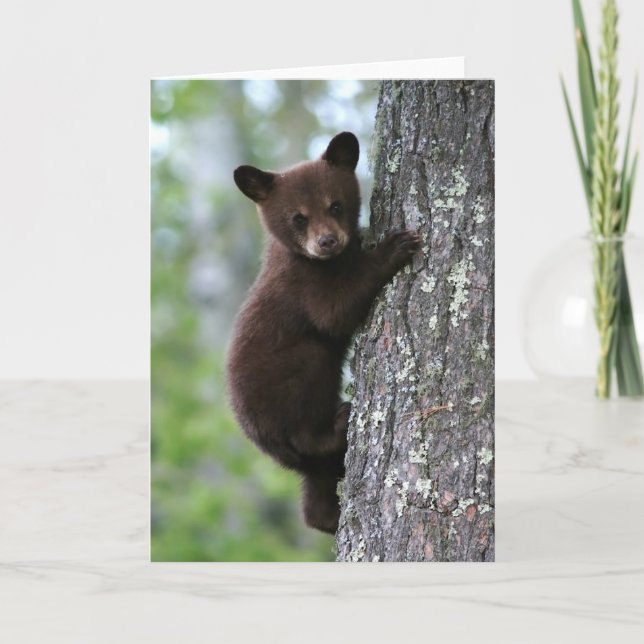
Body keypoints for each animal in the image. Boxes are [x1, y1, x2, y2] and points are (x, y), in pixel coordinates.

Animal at [226, 131, 420, 534]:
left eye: (335, 205)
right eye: (298, 217)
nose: (327, 241)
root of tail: (265, 443)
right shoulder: (303, 285)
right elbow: (335, 312)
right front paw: (393, 247)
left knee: (317, 487)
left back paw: (327, 518)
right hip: (291, 385)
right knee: (309, 413)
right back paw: (339, 422)